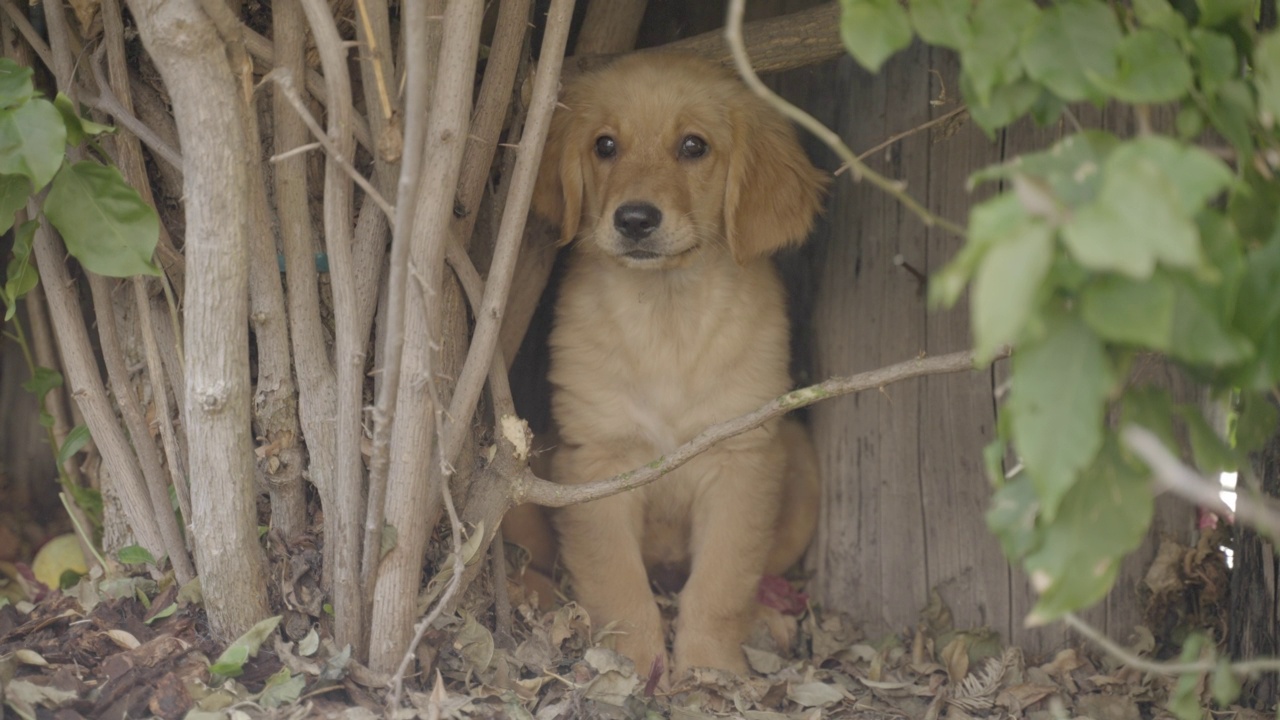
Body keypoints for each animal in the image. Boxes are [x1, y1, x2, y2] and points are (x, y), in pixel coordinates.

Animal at [532, 53, 824, 676]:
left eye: (694, 146)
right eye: (605, 145)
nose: (635, 220)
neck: (666, 315)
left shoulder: (740, 458)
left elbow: (722, 580)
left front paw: (709, 668)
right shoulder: (597, 461)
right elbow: (617, 580)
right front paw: (634, 664)